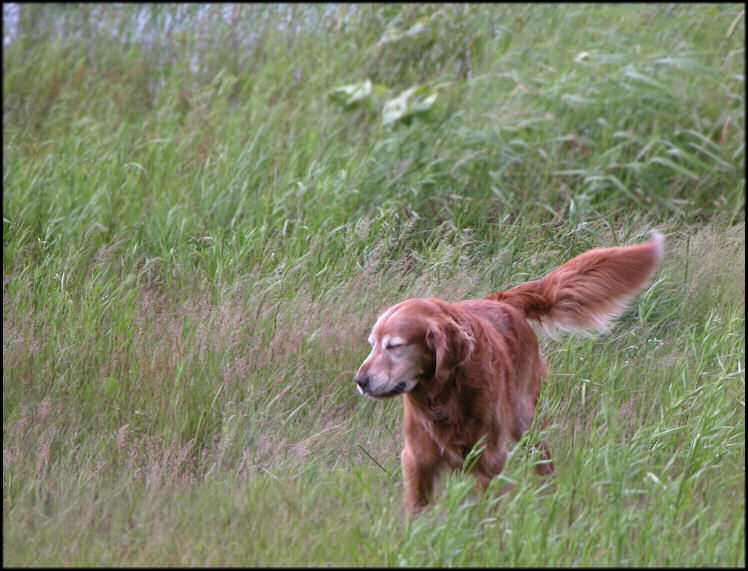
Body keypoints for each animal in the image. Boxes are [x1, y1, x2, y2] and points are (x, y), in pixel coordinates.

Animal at [354, 232, 664, 512]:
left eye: (395, 346)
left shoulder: (488, 457)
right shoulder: (417, 459)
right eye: (372, 345)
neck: (447, 392)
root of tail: (502, 300)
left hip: (525, 419)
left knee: (544, 463)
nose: (360, 380)